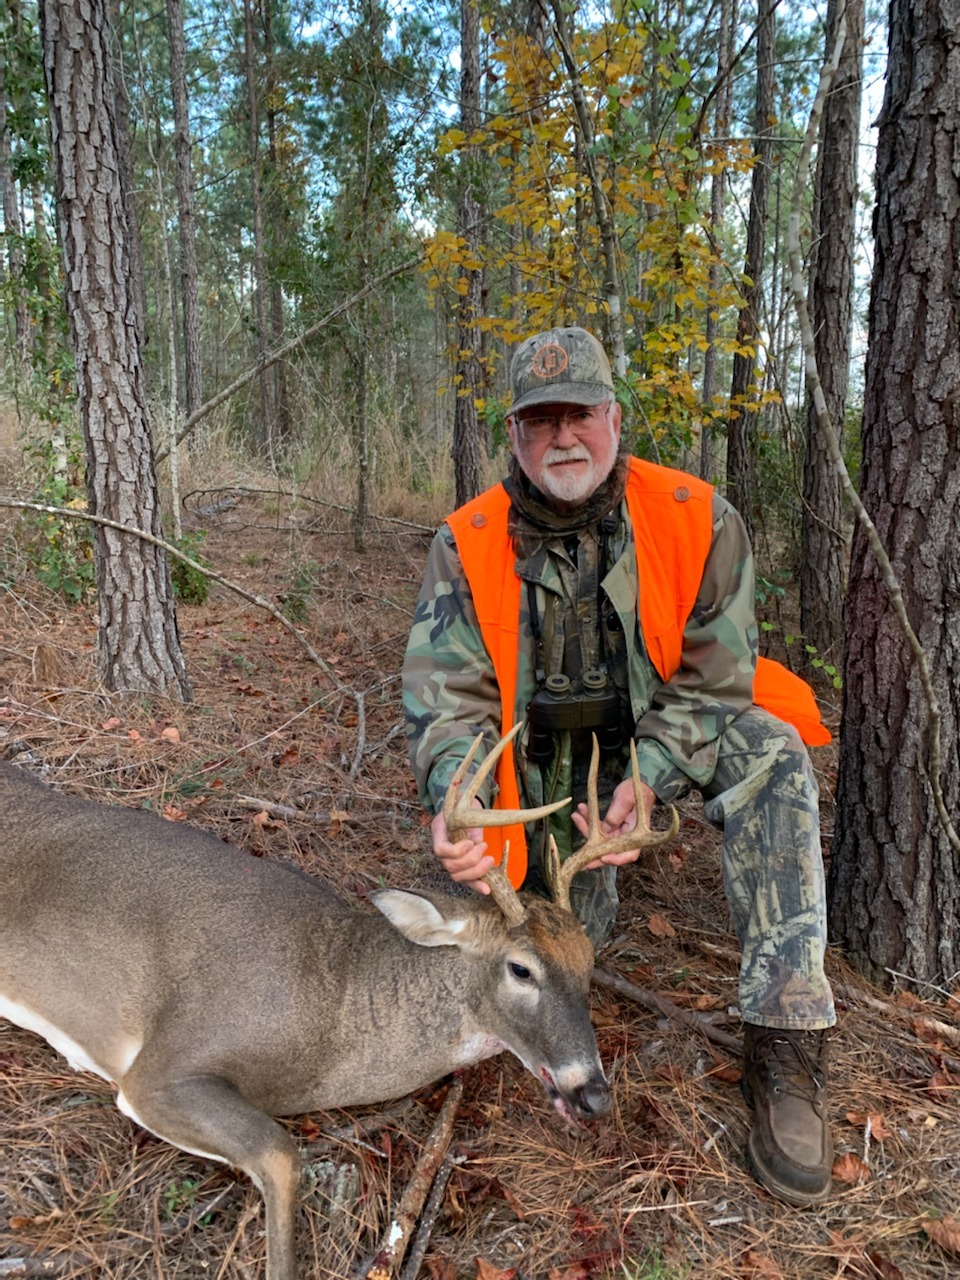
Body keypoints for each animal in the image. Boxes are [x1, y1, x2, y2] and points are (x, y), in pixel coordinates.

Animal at [0, 724, 678, 1280]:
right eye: (520, 968)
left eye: (589, 965)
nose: (594, 1093)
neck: (332, 1005)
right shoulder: (165, 1064)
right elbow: (281, 1155)